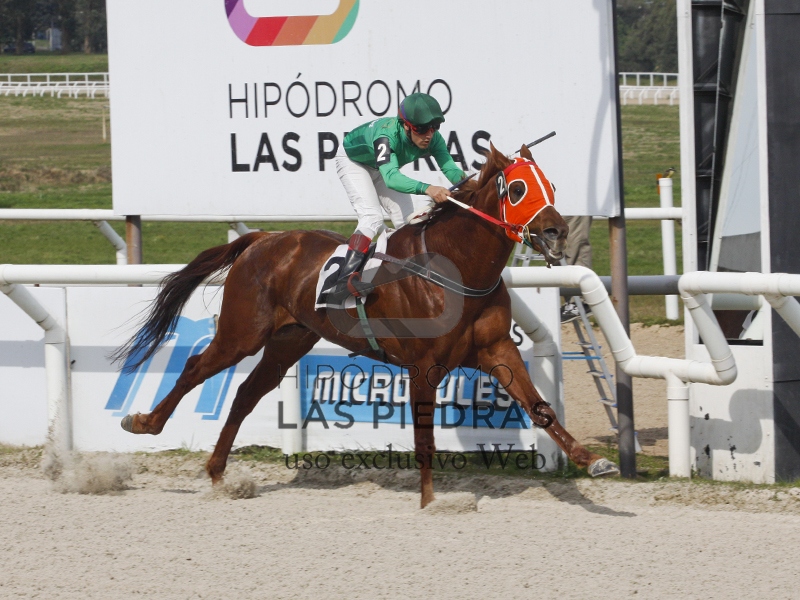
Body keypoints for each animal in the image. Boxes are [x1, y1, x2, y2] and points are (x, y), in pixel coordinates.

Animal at [114, 143, 619, 508]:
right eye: (515, 189)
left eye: (550, 185)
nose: (556, 231)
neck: (457, 270)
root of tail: (262, 238)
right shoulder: (424, 365)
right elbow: (424, 438)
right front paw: (430, 503)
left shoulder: (497, 350)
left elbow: (540, 408)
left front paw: (592, 461)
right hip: (242, 332)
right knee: (197, 367)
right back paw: (145, 423)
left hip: (289, 340)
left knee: (246, 393)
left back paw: (219, 473)